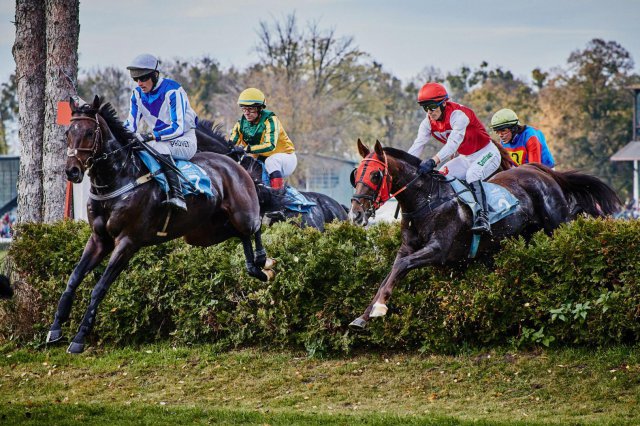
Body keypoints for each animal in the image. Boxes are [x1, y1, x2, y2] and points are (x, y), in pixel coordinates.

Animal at [46, 95, 274, 352]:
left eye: (88, 132)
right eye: (68, 133)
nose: (72, 171)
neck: (119, 178)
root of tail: (234, 162)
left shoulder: (128, 242)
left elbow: (98, 288)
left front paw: (79, 338)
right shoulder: (99, 239)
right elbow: (73, 278)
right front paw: (55, 328)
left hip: (242, 212)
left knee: (254, 226)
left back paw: (263, 261)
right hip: (203, 233)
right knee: (239, 235)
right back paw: (257, 268)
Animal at [348, 140, 624, 330]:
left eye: (375, 174)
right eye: (356, 175)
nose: (356, 213)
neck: (427, 199)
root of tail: (540, 171)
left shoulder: (438, 250)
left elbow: (402, 266)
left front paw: (379, 308)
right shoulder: (407, 248)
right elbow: (391, 272)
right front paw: (363, 316)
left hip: (558, 224)